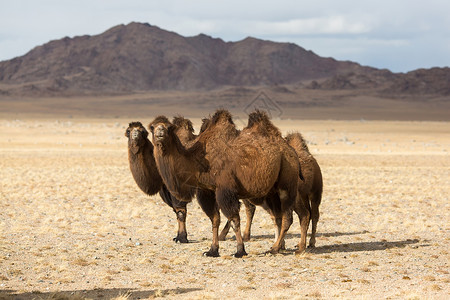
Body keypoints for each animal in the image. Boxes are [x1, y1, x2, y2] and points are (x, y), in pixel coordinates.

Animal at [149, 110, 300, 258]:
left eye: (169, 127)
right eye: (152, 127)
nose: (160, 131)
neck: (198, 160)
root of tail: (290, 151)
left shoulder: (225, 190)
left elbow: (234, 220)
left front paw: (240, 251)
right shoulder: (207, 191)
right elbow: (214, 219)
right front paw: (212, 250)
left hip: (286, 183)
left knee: (287, 217)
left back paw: (274, 249)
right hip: (271, 191)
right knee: (277, 217)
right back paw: (279, 246)